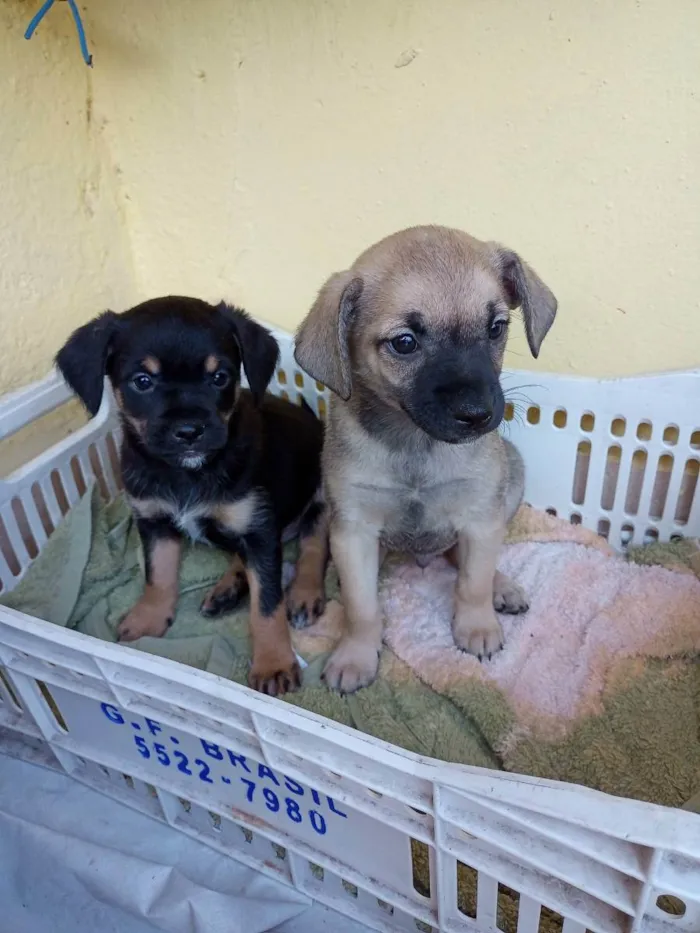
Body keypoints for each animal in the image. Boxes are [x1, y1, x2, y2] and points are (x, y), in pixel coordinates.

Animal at [56, 294, 326, 696]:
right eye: (142, 381)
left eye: (220, 377)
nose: (189, 431)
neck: (188, 472)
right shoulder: (154, 521)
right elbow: (158, 573)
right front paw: (148, 619)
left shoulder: (259, 532)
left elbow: (267, 604)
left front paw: (274, 663)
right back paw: (228, 588)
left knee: (314, 544)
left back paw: (305, 593)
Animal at [292, 224, 556, 692]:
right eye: (405, 343)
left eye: (496, 327)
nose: (478, 414)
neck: (416, 444)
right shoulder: (354, 532)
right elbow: (361, 608)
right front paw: (356, 655)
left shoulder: (479, 518)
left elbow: (472, 582)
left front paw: (476, 626)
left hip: (511, 482)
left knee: (469, 559)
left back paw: (501, 588)